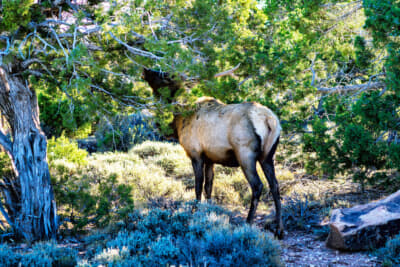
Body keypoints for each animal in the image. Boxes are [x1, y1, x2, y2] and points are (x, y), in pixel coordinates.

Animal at [142, 67, 282, 239]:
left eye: (166, 76)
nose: (145, 69)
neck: (178, 120)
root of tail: (269, 120)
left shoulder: (195, 154)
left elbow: (197, 186)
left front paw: (194, 212)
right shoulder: (210, 159)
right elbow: (208, 186)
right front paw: (210, 212)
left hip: (245, 154)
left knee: (257, 185)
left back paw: (247, 224)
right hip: (268, 156)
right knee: (274, 185)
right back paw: (279, 230)